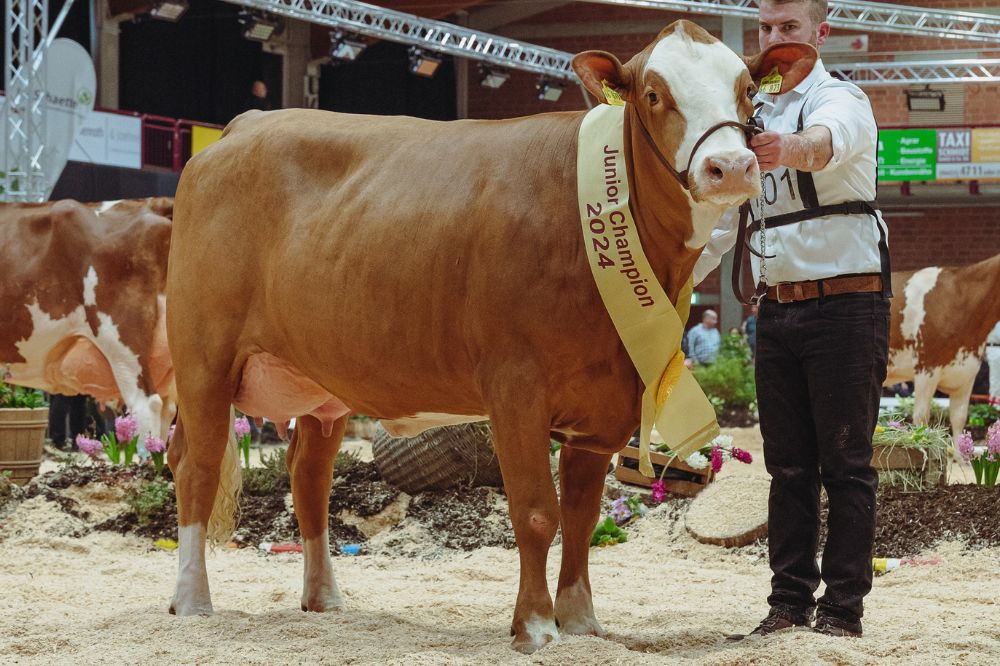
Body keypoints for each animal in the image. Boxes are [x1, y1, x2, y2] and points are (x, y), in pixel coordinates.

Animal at [166, 22, 812, 652]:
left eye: (749, 93)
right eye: (654, 95)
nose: (730, 167)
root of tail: (242, 126)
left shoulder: (603, 406)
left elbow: (581, 516)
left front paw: (582, 622)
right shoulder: (515, 386)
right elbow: (536, 513)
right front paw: (535, 626)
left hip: (322, 382)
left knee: (308, 477)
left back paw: (323, 596)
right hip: (202, 357)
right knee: (197, 467)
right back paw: (191, 601)